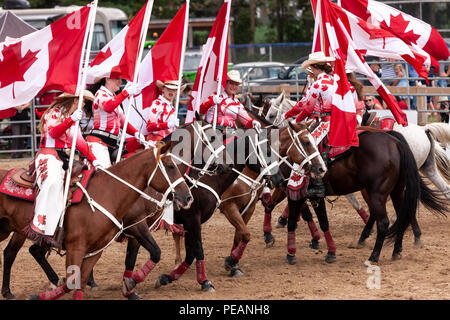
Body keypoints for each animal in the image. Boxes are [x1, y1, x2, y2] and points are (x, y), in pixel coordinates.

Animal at [0, 142, 192, 300]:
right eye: (170, 166)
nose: (188, 197)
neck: (107, 193)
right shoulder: (81, 246)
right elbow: (72, 281)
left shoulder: (99, 248)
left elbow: (138, 257)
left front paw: (129, 287)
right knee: (18, 252)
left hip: (12, 230)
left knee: (15, 252)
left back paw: (9, 291)